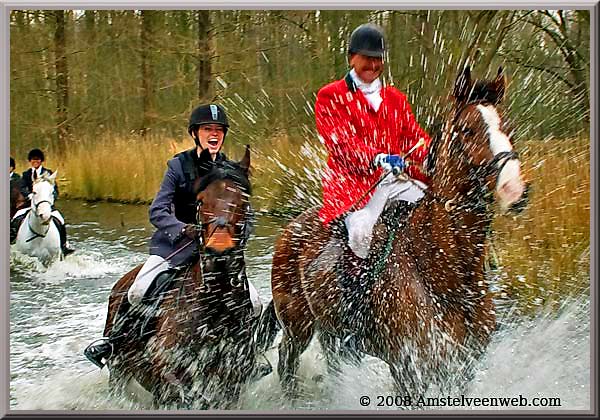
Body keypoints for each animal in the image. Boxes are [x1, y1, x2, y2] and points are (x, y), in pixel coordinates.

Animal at [101, 147, 260, 406]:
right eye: (200, 201)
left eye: (243, 201)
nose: (219, 252)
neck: (215, 306)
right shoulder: (166, 382)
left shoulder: (230, 387)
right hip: (118, 370)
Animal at [256, 67, 524, 398]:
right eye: (467, 130)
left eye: (508, 127)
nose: (514, 190)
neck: (445, 274)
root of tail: (292, 226)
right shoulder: (408, 371)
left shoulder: (461, 369)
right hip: (297, 326)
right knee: (287, 363)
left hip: (331, 332)